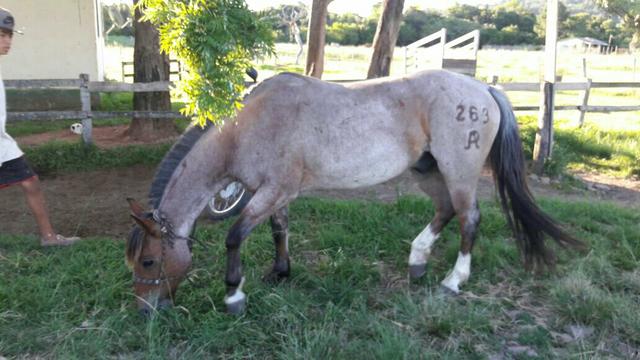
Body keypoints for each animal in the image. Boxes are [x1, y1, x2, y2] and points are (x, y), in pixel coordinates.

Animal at [126, 69, 584, 316]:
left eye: (149, 261)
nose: (146, 310)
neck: (247, 127)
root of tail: (482, 89)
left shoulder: (273, 190)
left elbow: (235, 236)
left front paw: (235, 295)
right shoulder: (275, 194)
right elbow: (278, 230)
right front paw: (280, 272)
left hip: (459, 171)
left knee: (468, 217)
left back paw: (454, 281)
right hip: (428, 169)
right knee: (444, 211)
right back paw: (417, 262)